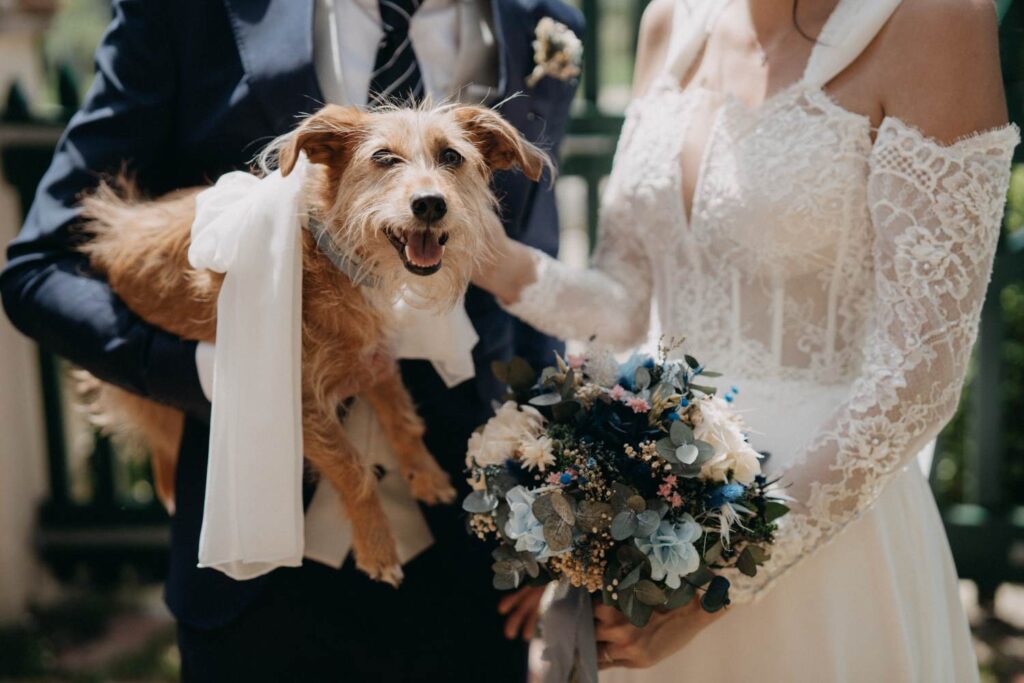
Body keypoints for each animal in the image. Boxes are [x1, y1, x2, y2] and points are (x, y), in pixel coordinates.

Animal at [74, 104, 552, 585]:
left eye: (451, 156)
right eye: (383, 158)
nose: (431, 203)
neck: (332, 259)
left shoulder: (374, 358)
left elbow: (401, 418)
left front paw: (425, 475)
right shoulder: (298, 399)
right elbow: (353, 469)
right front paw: (377, 546)